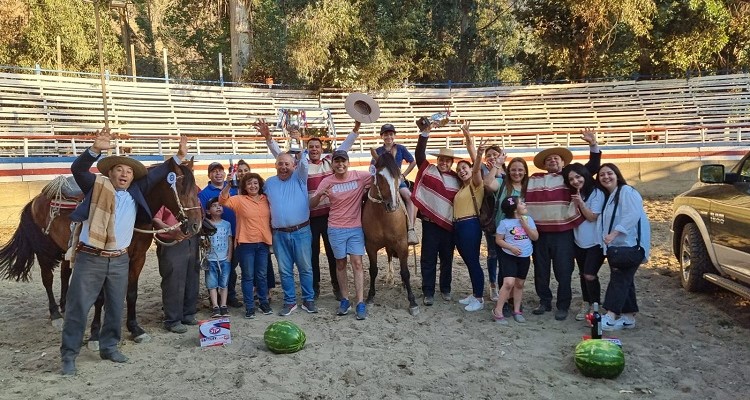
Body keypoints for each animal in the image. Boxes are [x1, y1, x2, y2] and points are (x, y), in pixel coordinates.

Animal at [0, 158, 203, 346]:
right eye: (181, 189)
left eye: (196, 189)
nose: (196, 225)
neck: (135, 216)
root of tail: (35, 200)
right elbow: (100, 297)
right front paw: (95, 335)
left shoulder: (138, 258)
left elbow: (131, 294)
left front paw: (135, 329)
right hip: (44, 251)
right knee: (47, 279)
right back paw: (55, 314)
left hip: (66, 249)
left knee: (65, 274)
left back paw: (65, 306)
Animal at [362, 152, 420, 314]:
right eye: (379, 175)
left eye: (398, 175)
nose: (392, 205)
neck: (382, 216)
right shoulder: (370, 246)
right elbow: (373, 270)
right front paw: (370, 297)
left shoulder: (401, 244)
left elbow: (405, 272)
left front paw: (412, 302)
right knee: (388, 255)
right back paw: (390, 277)